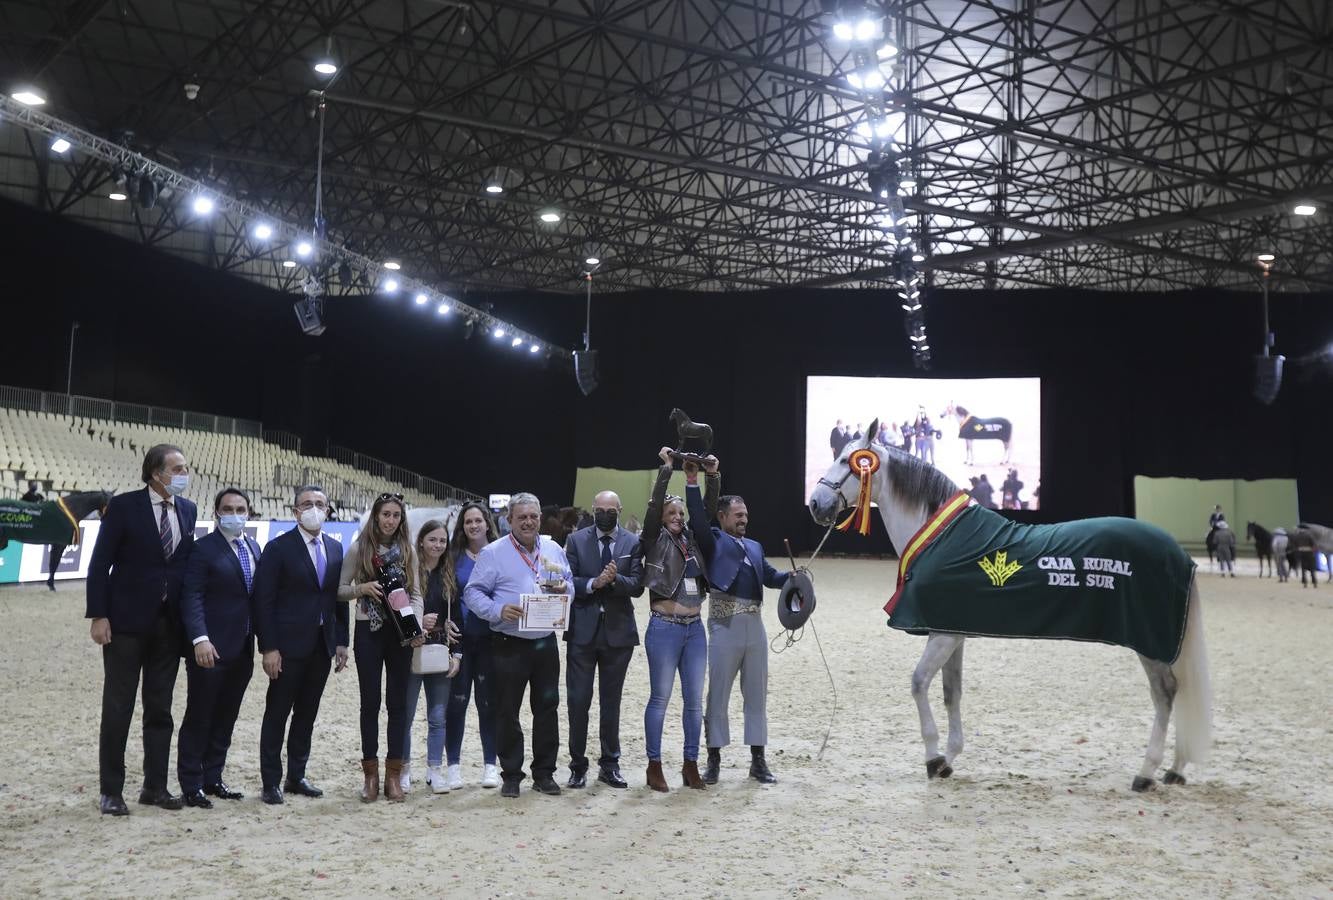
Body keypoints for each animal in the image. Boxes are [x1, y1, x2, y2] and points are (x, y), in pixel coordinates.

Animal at [805, 418, 1215, 794]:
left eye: (845, 460)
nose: (815, 504)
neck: (941, 537)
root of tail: (1178, 553)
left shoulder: (942, 635)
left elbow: (919, 683)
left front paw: (934, 758)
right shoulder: (951, 630)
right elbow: (951, 692)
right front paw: (949, 759)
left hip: (1148, 641)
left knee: (1166, 693)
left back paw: (1147, 773)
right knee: (1176, 692)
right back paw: (1174, 769)